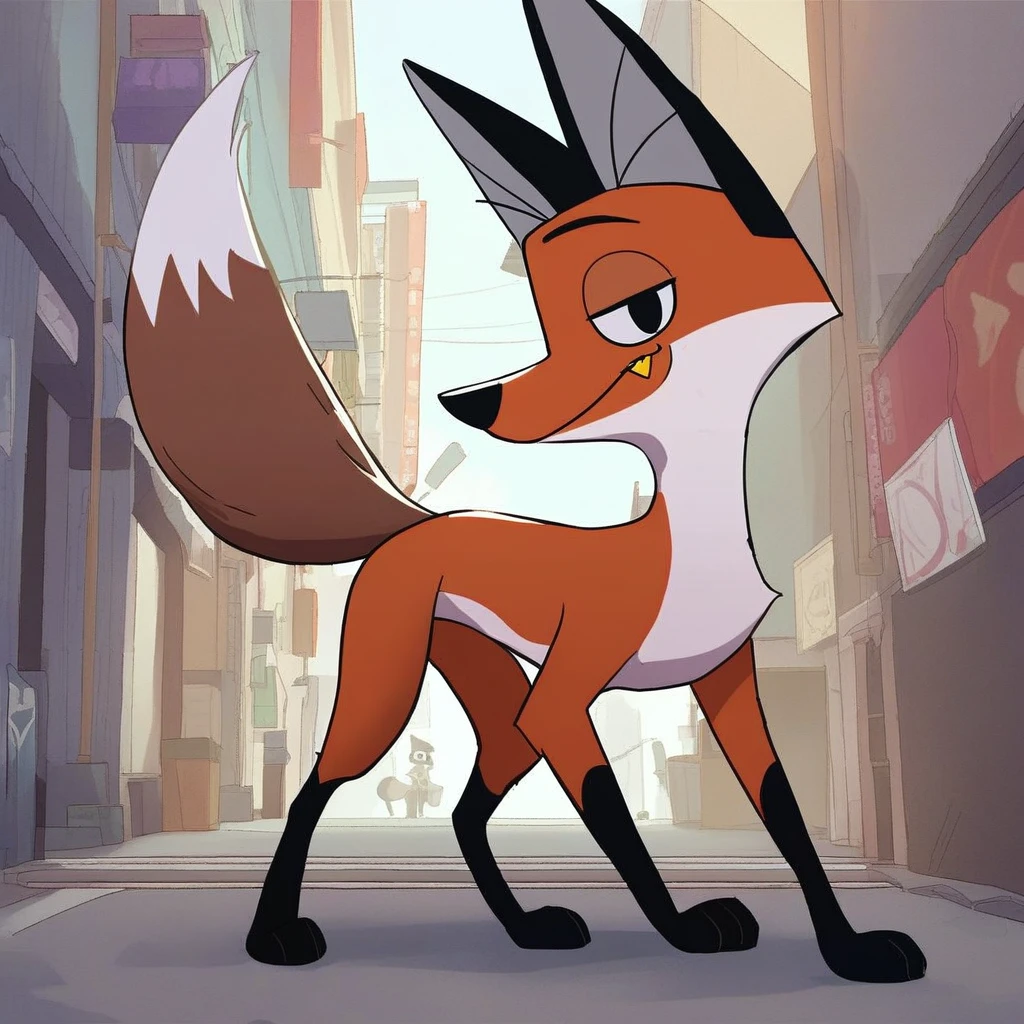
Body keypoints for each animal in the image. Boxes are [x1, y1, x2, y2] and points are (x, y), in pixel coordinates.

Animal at [122, 0, 925, 984]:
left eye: (637, 309)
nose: (476, 403)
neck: (686, 538)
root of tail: (420, 520)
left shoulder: (727, 680)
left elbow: (789, 818)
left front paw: (849, 948)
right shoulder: (567, 697)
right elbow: (622, 829)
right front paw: (685, 929)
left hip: (496, 709)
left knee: (467, 809)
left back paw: (526, 927)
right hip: (395, 693)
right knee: (317, 786)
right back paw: (275, 933)